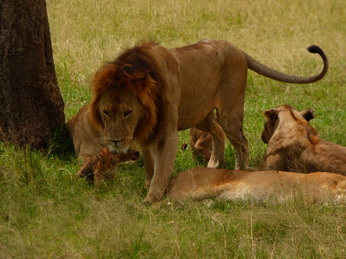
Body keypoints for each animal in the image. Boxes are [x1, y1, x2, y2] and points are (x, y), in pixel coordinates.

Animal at [88, 40, 328, 204]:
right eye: (106, 112)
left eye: (128, 112)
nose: (115, 141)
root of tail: (236, 48)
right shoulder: (148, 133)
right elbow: (150, 165)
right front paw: (148, 186)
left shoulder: (167, 132)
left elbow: (161, 168)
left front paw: (151, 198)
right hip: (199, 115)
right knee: (218, 132)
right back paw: (214, 164)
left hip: (228, 111)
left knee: (241, 140)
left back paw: (239, 168)